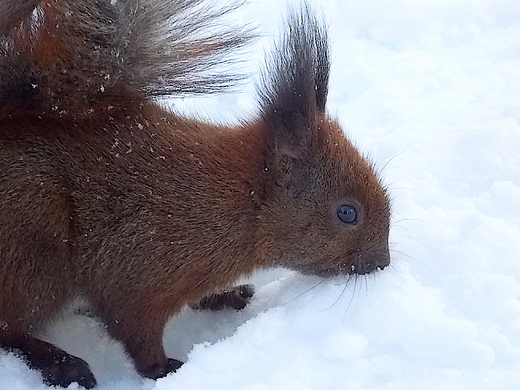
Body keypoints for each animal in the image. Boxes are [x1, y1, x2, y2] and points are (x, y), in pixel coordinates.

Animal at [0, 1, 390, 388]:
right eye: (347, 212)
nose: (383, 262)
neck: (240, 200)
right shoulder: (138, 266)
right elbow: (132, 326)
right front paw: (163, 368)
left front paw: (224, 296)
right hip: (32, 242)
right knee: (11, 329)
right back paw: (61, 362)